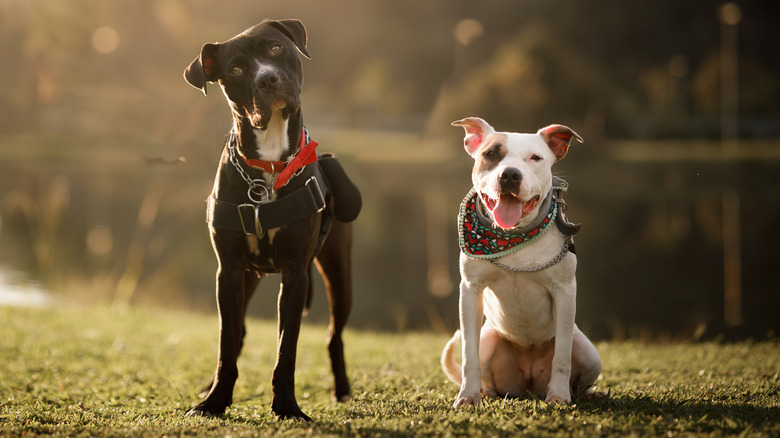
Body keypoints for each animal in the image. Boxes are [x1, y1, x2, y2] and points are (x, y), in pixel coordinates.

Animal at [184, 19, 362, 420]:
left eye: (276, 49)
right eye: (236, 68)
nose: (267, 79)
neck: (268, 165)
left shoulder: (295, 273)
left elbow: (286, 350)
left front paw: (288, 408)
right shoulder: (229, 271)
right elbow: (226, 344)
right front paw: (214, 401)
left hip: (340, 272)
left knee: (334, 335)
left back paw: (342, 390)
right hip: (247, 277)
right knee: (238, 333)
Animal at [442, 117, 608, 408]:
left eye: (535, 157)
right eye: (490, 154)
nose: (509, 175)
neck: (512, 237)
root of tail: (528, 387)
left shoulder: (564, 291)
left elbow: (562, 356)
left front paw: (559, 396)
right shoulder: (470, 290)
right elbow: (468, 355)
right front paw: (468, 396)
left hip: (589, 352)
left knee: (579, 376)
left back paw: (588, 393)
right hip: (489, 338)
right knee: (487, 374)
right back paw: (485, 392)